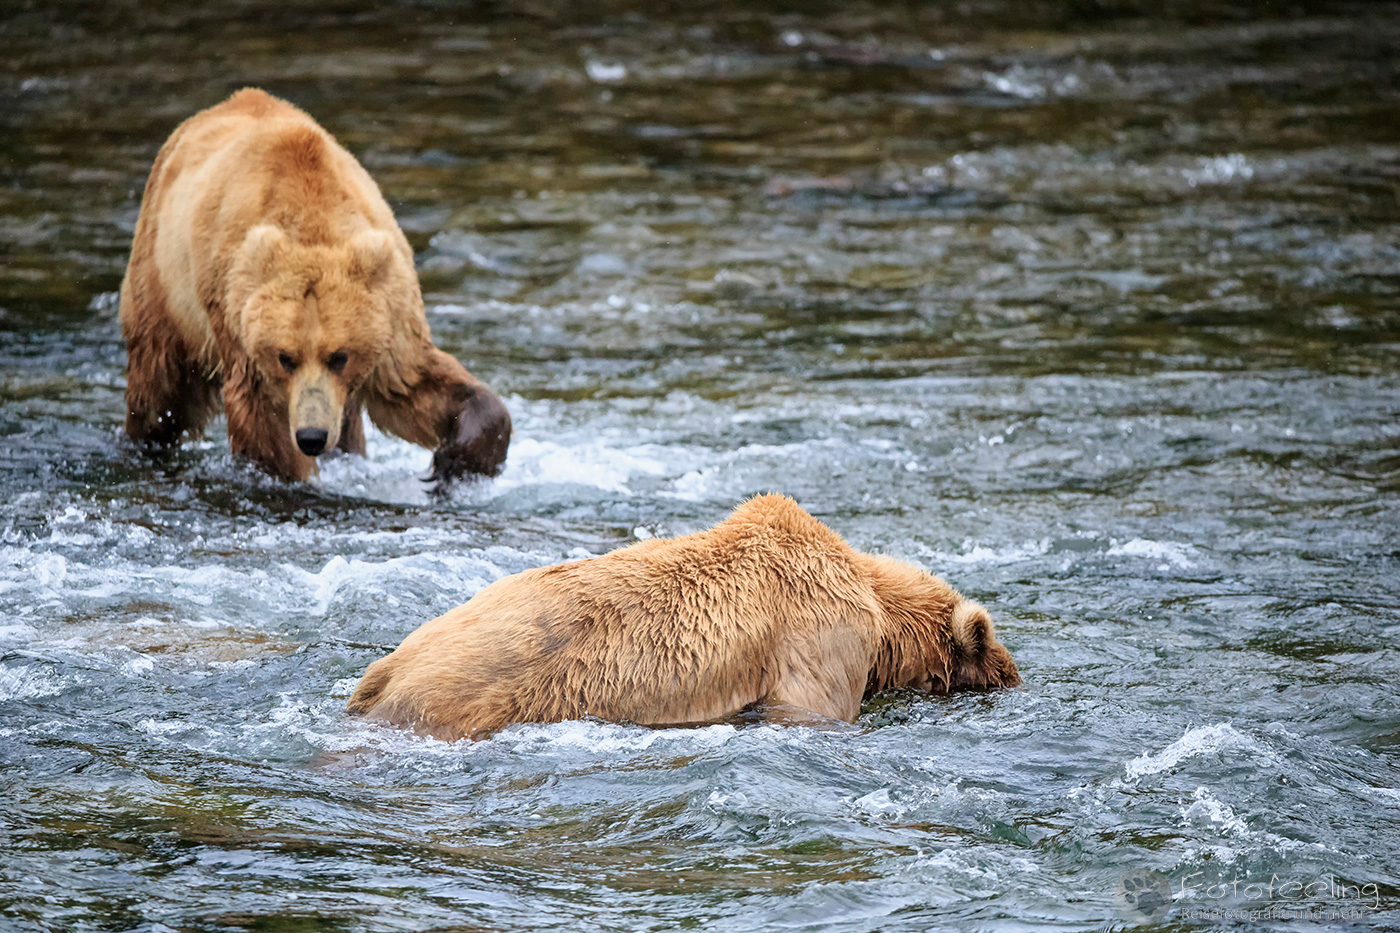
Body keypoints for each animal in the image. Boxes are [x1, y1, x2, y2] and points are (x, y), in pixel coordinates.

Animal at [119, 88, 510, 483]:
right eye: (285, 357)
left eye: (340, 356)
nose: (311, 436)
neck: (312, 219)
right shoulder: (238, 320)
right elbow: (263, 424)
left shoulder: (390, 316)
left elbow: (413, 384)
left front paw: (454, 461)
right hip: (163, 282)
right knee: (160, 389)